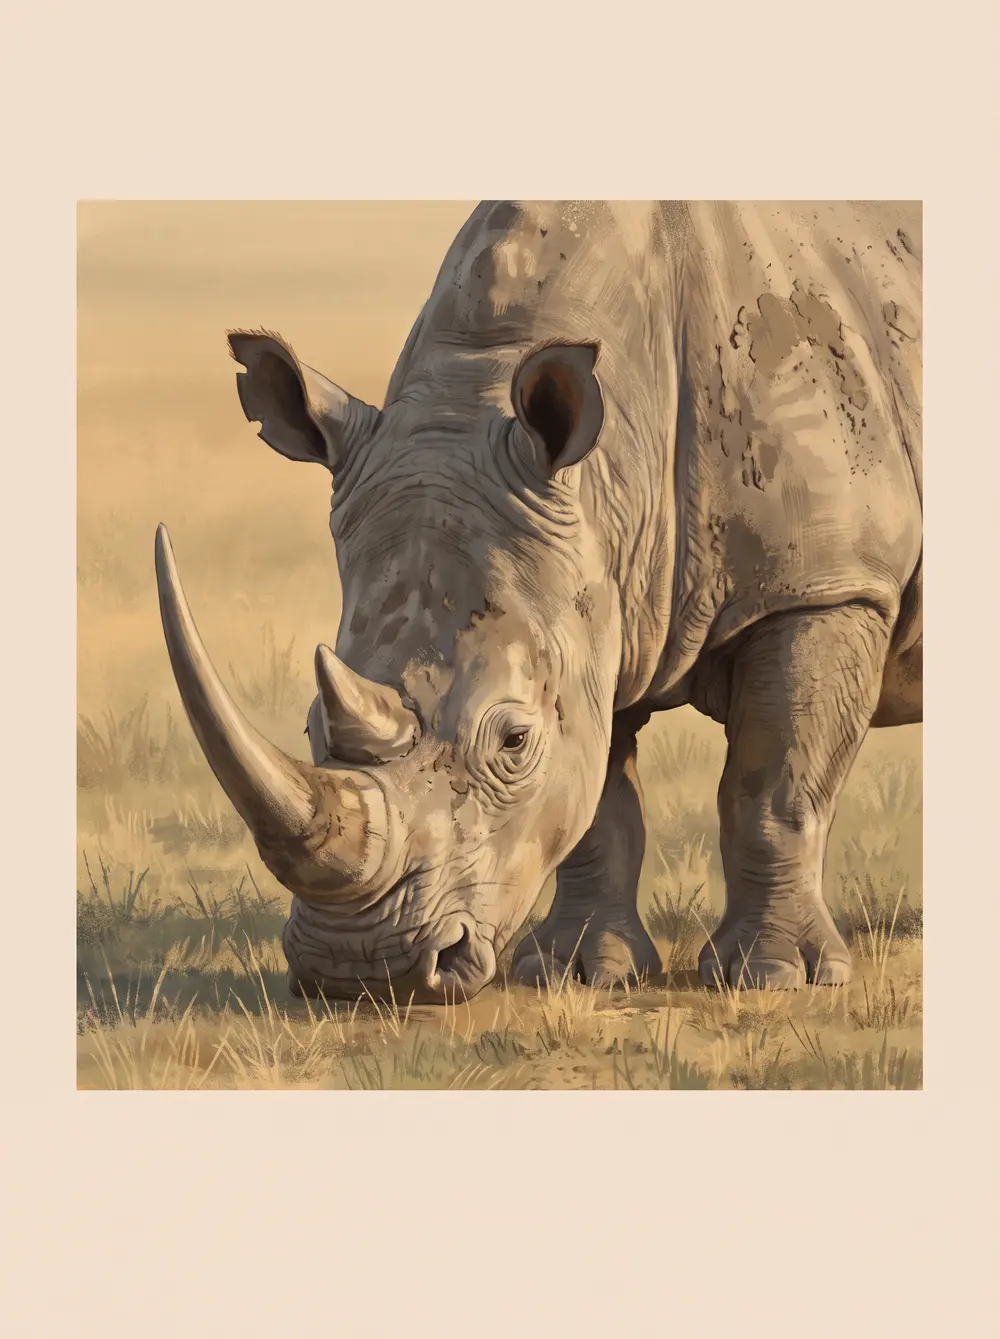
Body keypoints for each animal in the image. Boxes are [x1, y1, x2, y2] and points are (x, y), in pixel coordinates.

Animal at [155, 200, 922, 1003]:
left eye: (513, 740)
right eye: (308, 726)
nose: (360, 970)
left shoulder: (826, 584)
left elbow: (772, 786)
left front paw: (775, 978)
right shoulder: (594, 602)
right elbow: (597, 805)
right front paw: (576, 972)